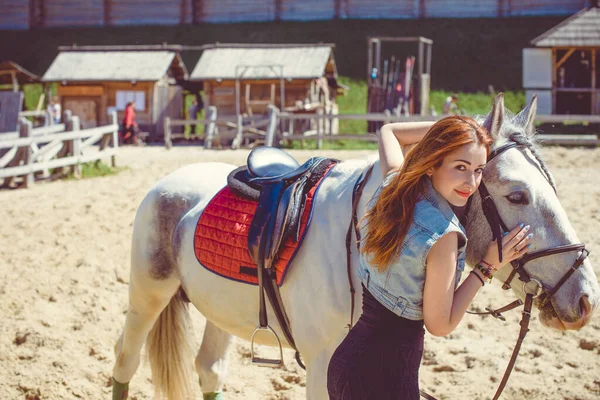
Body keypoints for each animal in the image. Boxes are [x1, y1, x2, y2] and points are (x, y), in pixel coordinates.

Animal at [112, 94, 600, 400]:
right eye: (517, 196)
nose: (586, 299)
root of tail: (172, 181)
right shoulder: (321, 367)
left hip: (221, 311)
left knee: (209, 369)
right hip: (148, 294)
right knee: (126, 359)